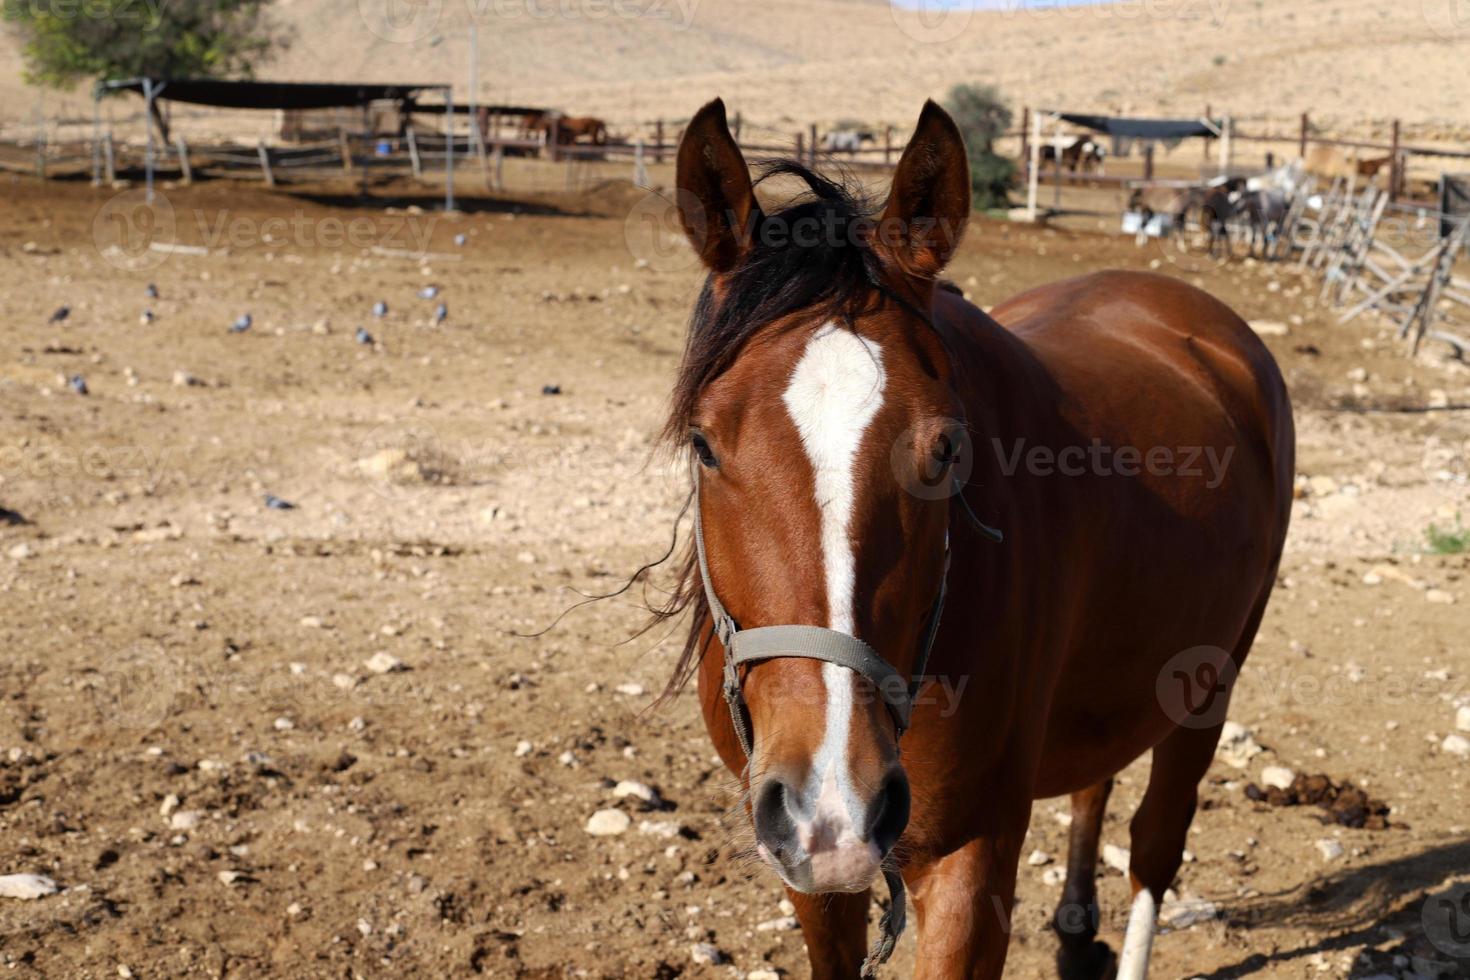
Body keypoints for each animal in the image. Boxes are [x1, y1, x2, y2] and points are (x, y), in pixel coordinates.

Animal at [661, 101, 1293, 980]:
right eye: (704, 444)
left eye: (945, 450)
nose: (832, 798)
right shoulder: (807, 863)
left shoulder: (973, 856)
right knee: (1096, 783)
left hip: (1213, 678)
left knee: (1156, 846)